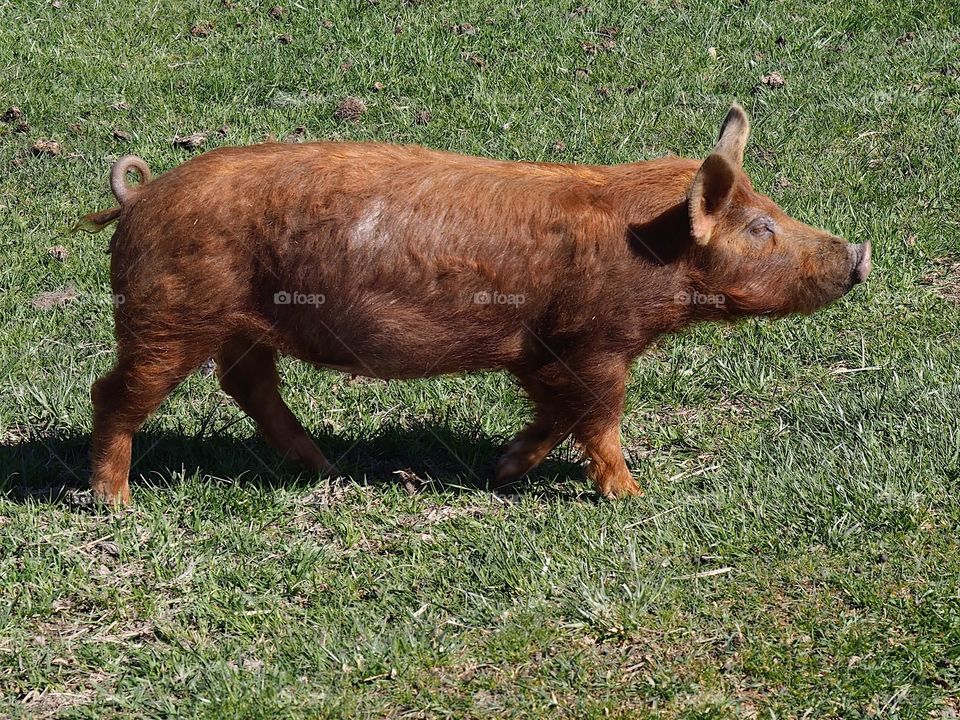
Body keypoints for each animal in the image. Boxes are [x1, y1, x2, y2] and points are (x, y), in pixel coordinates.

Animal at [82, 104, 872, 504]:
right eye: (761, 228)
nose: (861, 252)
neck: (648, 252)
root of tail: (140, 197)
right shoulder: (595, 344)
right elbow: (599, 419)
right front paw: (633, 497)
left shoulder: (544, 351)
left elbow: (556, 415)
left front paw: (503, 469)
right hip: (168, 313)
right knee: (114, 392)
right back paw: (115, 502)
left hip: (237, 323)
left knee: (246, 382)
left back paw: (323, 466)